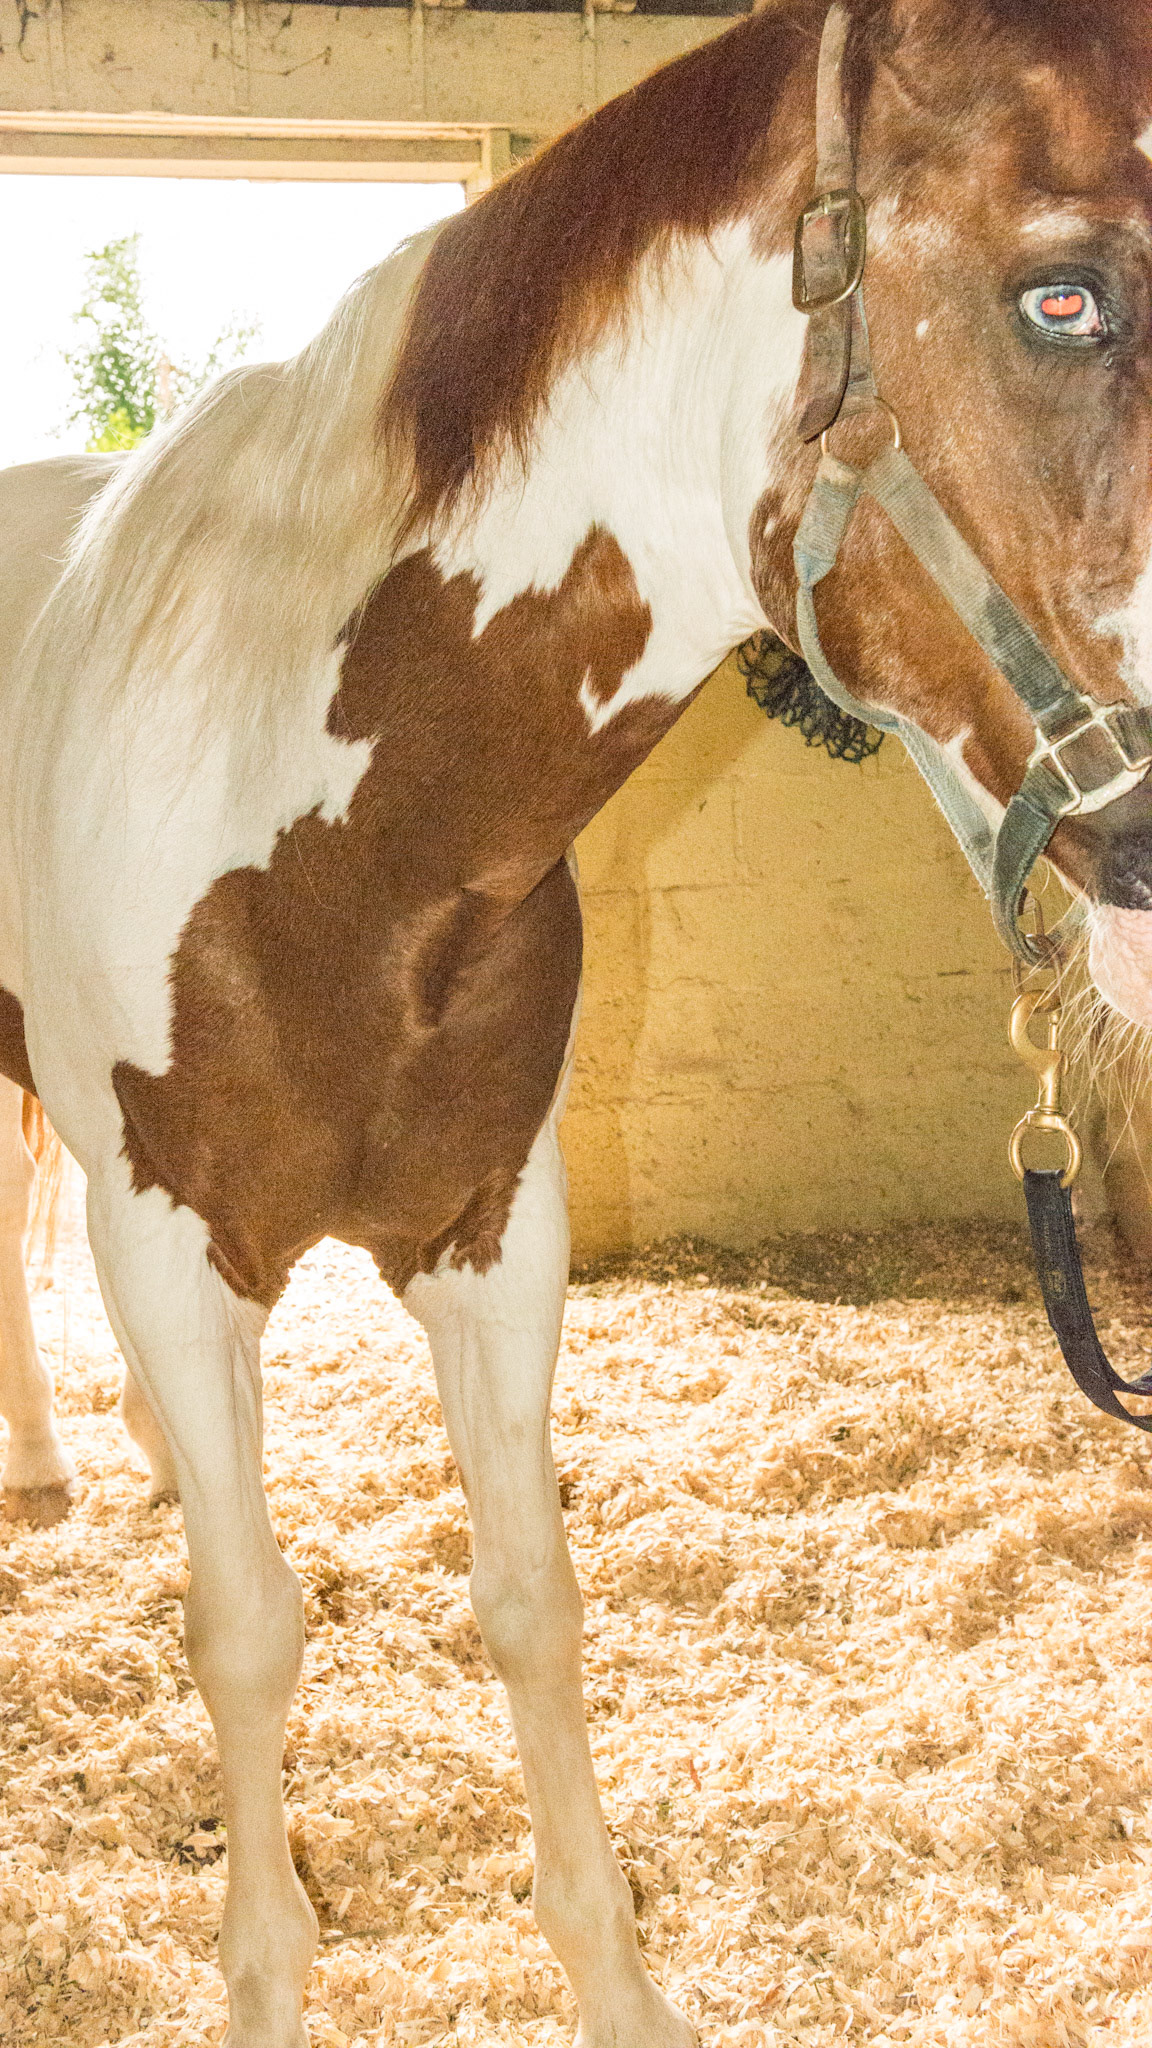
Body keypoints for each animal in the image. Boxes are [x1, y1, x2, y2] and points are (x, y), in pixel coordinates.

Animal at [4, 1, 1152, 2040]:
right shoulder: (168, 1243)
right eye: (1063, 297)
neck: (336, 827)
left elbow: (530, 1598)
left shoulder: (494, 1233)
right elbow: (248, 1628)